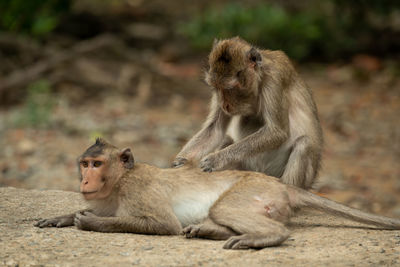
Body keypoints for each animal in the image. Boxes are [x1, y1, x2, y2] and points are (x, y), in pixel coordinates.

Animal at [35, 140, 400, 251]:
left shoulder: (138, 189)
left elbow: (164, 224)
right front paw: (62, 217)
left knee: (228, 210)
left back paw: (261, 237)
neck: (120, 180)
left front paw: (89, 222)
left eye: (97, 164)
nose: (85, 179)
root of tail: (283, 184)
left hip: (251, 190)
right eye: (84, 163)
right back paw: (208, 230)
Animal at [173, 36, 324, 189]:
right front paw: (182, 160)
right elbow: (215, 129)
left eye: (229, 89)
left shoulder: (275, 80)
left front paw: (216, 159)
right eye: (217, 88)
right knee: (227, 138)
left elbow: (277, 132)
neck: (260, 78)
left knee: (304, 143)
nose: (224, 105)